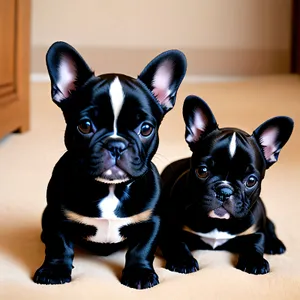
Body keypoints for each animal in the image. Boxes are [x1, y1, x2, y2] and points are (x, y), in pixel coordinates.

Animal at [33, 41, 188, 290]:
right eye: (85, 126)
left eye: (146, 128)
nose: (116, 144)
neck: (110, 188)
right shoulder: (56, 215)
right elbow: (59, 245)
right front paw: (54, 270)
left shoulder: (152, 220)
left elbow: (142, 249)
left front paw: (139, 273)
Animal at [159, 95, 292, 274]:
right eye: (202, 171)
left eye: (251, 181)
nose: (225, 190)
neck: (218, 223)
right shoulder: (169, 228)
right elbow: (176, 243)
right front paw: (183, 261)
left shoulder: (254, 232)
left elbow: (255, 244)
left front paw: (255, 261)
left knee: (269, 225)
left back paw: (275, 243)